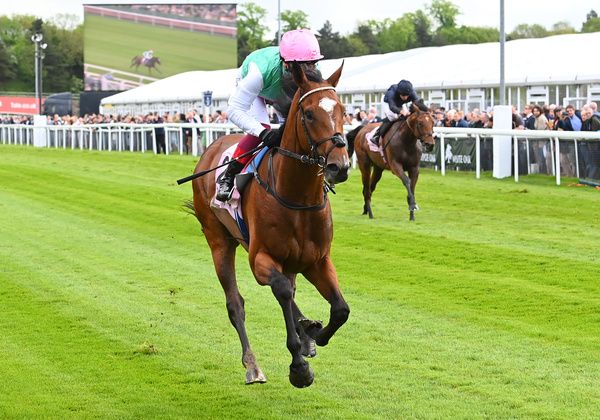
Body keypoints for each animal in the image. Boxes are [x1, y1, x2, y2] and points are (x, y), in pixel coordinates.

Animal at [82, 3, 237, 91]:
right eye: (159, 59)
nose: (161, 62)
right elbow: (153, 70)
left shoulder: (151, 66)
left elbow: (153, 70)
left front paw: (158, 74)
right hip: (137, 62)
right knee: (135, 65)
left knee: (136, 66)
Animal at [190, 61, 352, 388]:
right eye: (309, 114)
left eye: (342, 110)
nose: (339, 166)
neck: (297, 195)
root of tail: (211, 148)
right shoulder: (260, 259)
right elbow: (281, 291)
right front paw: (299, 367)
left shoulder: (317, 260)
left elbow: (341, 309)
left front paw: (314, 333)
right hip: (219, 241)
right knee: (236, 304)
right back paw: (253, 366)